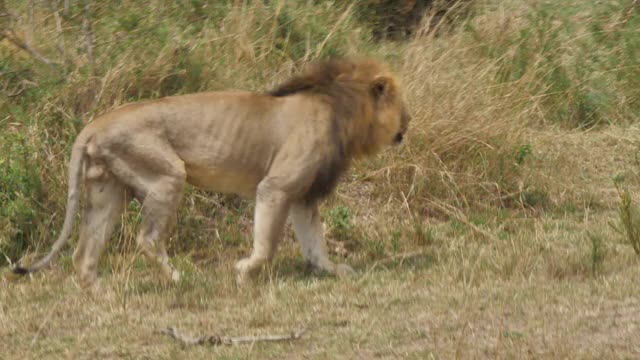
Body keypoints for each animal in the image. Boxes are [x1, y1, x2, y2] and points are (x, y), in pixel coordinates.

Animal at [12, 57, 412, 286]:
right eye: (400, 105)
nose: (409, 122)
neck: (342, 110)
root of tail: (94, 124)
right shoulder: (277, 187)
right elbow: (267, 244)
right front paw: (244, 270)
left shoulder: (302, 196)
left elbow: (315, 242)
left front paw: (331, 271)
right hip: (166, 175)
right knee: (147, 239)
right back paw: (177, 278)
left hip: (106, 191)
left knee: (84, 252)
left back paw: (100, 292)